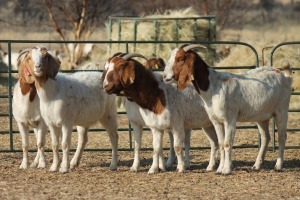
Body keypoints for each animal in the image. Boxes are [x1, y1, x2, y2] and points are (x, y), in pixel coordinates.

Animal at [163, 44, 292, 175]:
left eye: (180, 59)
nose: (164, 76)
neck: (212, 86)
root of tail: (285, 77)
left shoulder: (229, 119)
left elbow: (227, 143)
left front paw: (226, 169)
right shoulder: (216, 121)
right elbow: (220, 143)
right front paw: (219, 169)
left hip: (282, 110)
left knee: (282, 137)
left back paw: (278, 166)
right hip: (262, 117)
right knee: (266, 137)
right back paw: (257, 165)